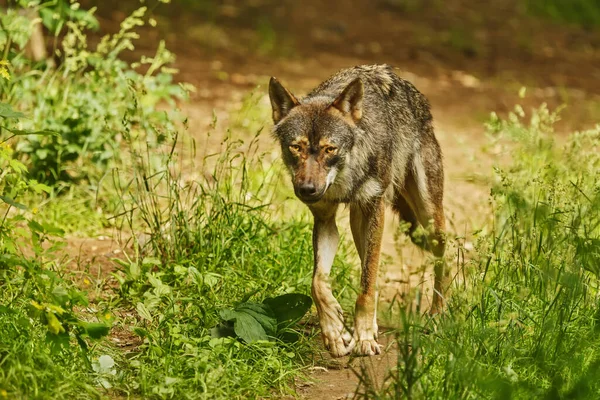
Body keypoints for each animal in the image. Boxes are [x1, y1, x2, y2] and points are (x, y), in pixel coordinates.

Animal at [268, 65, 446, 356]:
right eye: (296, 147)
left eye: (330, 149)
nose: (307, 190)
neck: (344, 177)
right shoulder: (325, 220)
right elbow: (318, 282)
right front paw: (334, 328)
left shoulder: (375, 209)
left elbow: (367, 283)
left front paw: (362, 337)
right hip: (358, 222)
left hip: (429, 221)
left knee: (446, 260)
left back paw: (437, 315)